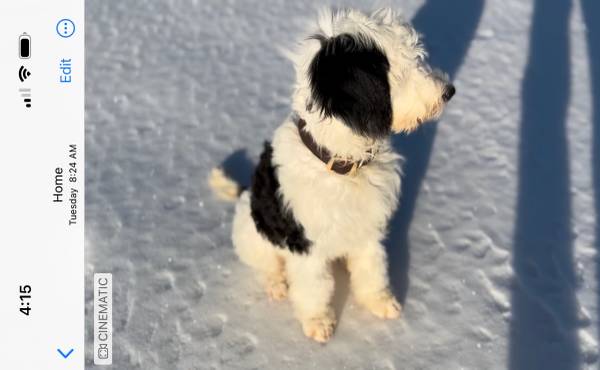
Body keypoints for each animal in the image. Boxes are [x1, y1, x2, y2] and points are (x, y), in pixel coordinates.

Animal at [210, 8, 454, 342]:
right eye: (400, 71)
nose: (449, 91)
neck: (341, 167)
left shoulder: (368, 227)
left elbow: (372, 267)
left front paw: (379, 302)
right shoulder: (306, 245)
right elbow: (314, 287)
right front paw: (317, 321)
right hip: (252, 234)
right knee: (266, 265)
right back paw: (276, 285)